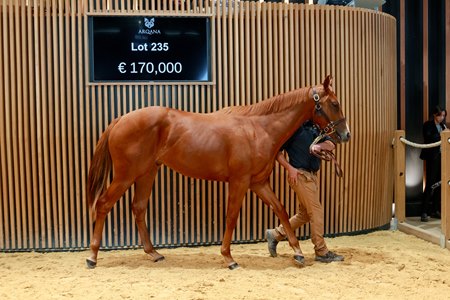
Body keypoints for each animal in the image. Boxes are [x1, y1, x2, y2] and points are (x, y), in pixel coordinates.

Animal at [86, 75, 350, 270]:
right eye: (334, 103)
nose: (346, 134)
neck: (258, 129)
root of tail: (120, 119)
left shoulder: (259, 183)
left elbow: (281, 210)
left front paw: (298, 252)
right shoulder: (239, 181)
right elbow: (231, 216)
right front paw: (229, 258)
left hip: (146, 172)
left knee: (138, 208)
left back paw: (153, 253)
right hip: (125, 175)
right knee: (103, 204)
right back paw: (92, 256)